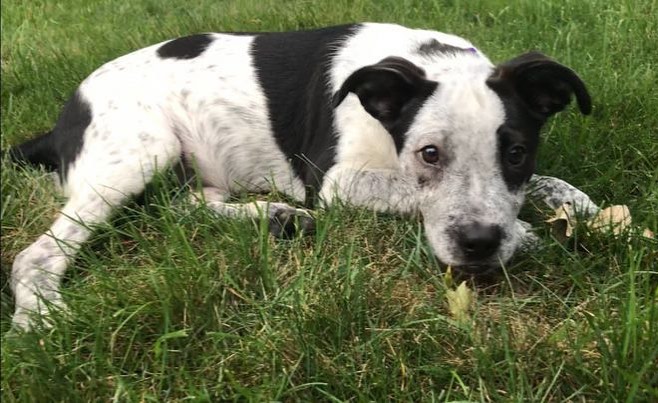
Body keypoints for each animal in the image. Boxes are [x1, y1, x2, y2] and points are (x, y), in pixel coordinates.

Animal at [7, 23, 596, 330]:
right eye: (429, 154)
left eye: (516, 152)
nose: (480, 245)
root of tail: (61, 119)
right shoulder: (336, 182)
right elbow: (408, 193)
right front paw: (527, 234)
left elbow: (546, 183)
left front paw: (584, 207)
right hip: (136, 153)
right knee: (35, 254)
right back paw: (40, 319)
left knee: (182, 204)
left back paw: (277, 216)